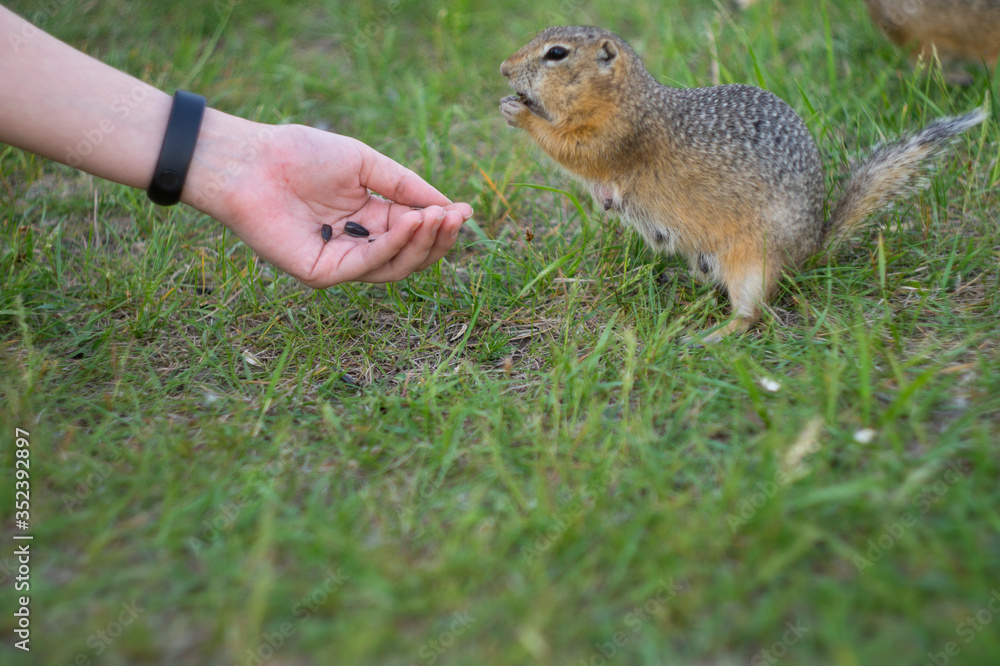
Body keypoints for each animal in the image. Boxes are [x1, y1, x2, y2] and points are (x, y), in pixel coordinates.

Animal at [499, 26, 986, 341]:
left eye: (556, 54)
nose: (504, 68)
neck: (628, 97)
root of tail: (812, 249)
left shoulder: (616, 137)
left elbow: (571, 149)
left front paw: (519, 112)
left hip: (752, 261)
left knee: (754, 314)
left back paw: (712, 335)